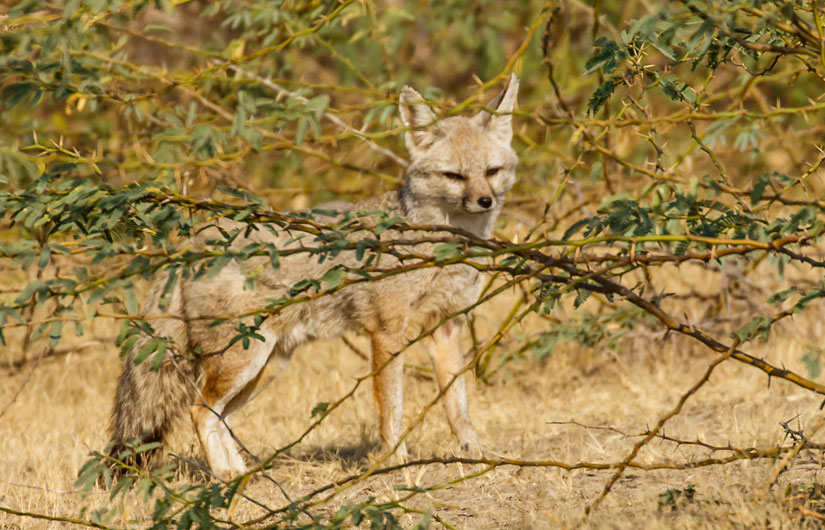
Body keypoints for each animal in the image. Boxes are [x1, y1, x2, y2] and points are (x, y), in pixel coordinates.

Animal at [110, 72, 520, 476]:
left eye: (491, 172)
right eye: (454, 176)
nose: (485, 201)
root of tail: (195, 240)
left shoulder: (447, 326)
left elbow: (459, 408)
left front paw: (475, 456)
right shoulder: (387, 333)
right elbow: (392, 411)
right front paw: (397, 466)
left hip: (266, 366)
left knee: (218, 416)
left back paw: (241, 478)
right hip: (244, 360)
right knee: (200, 410)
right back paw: (227, 478)